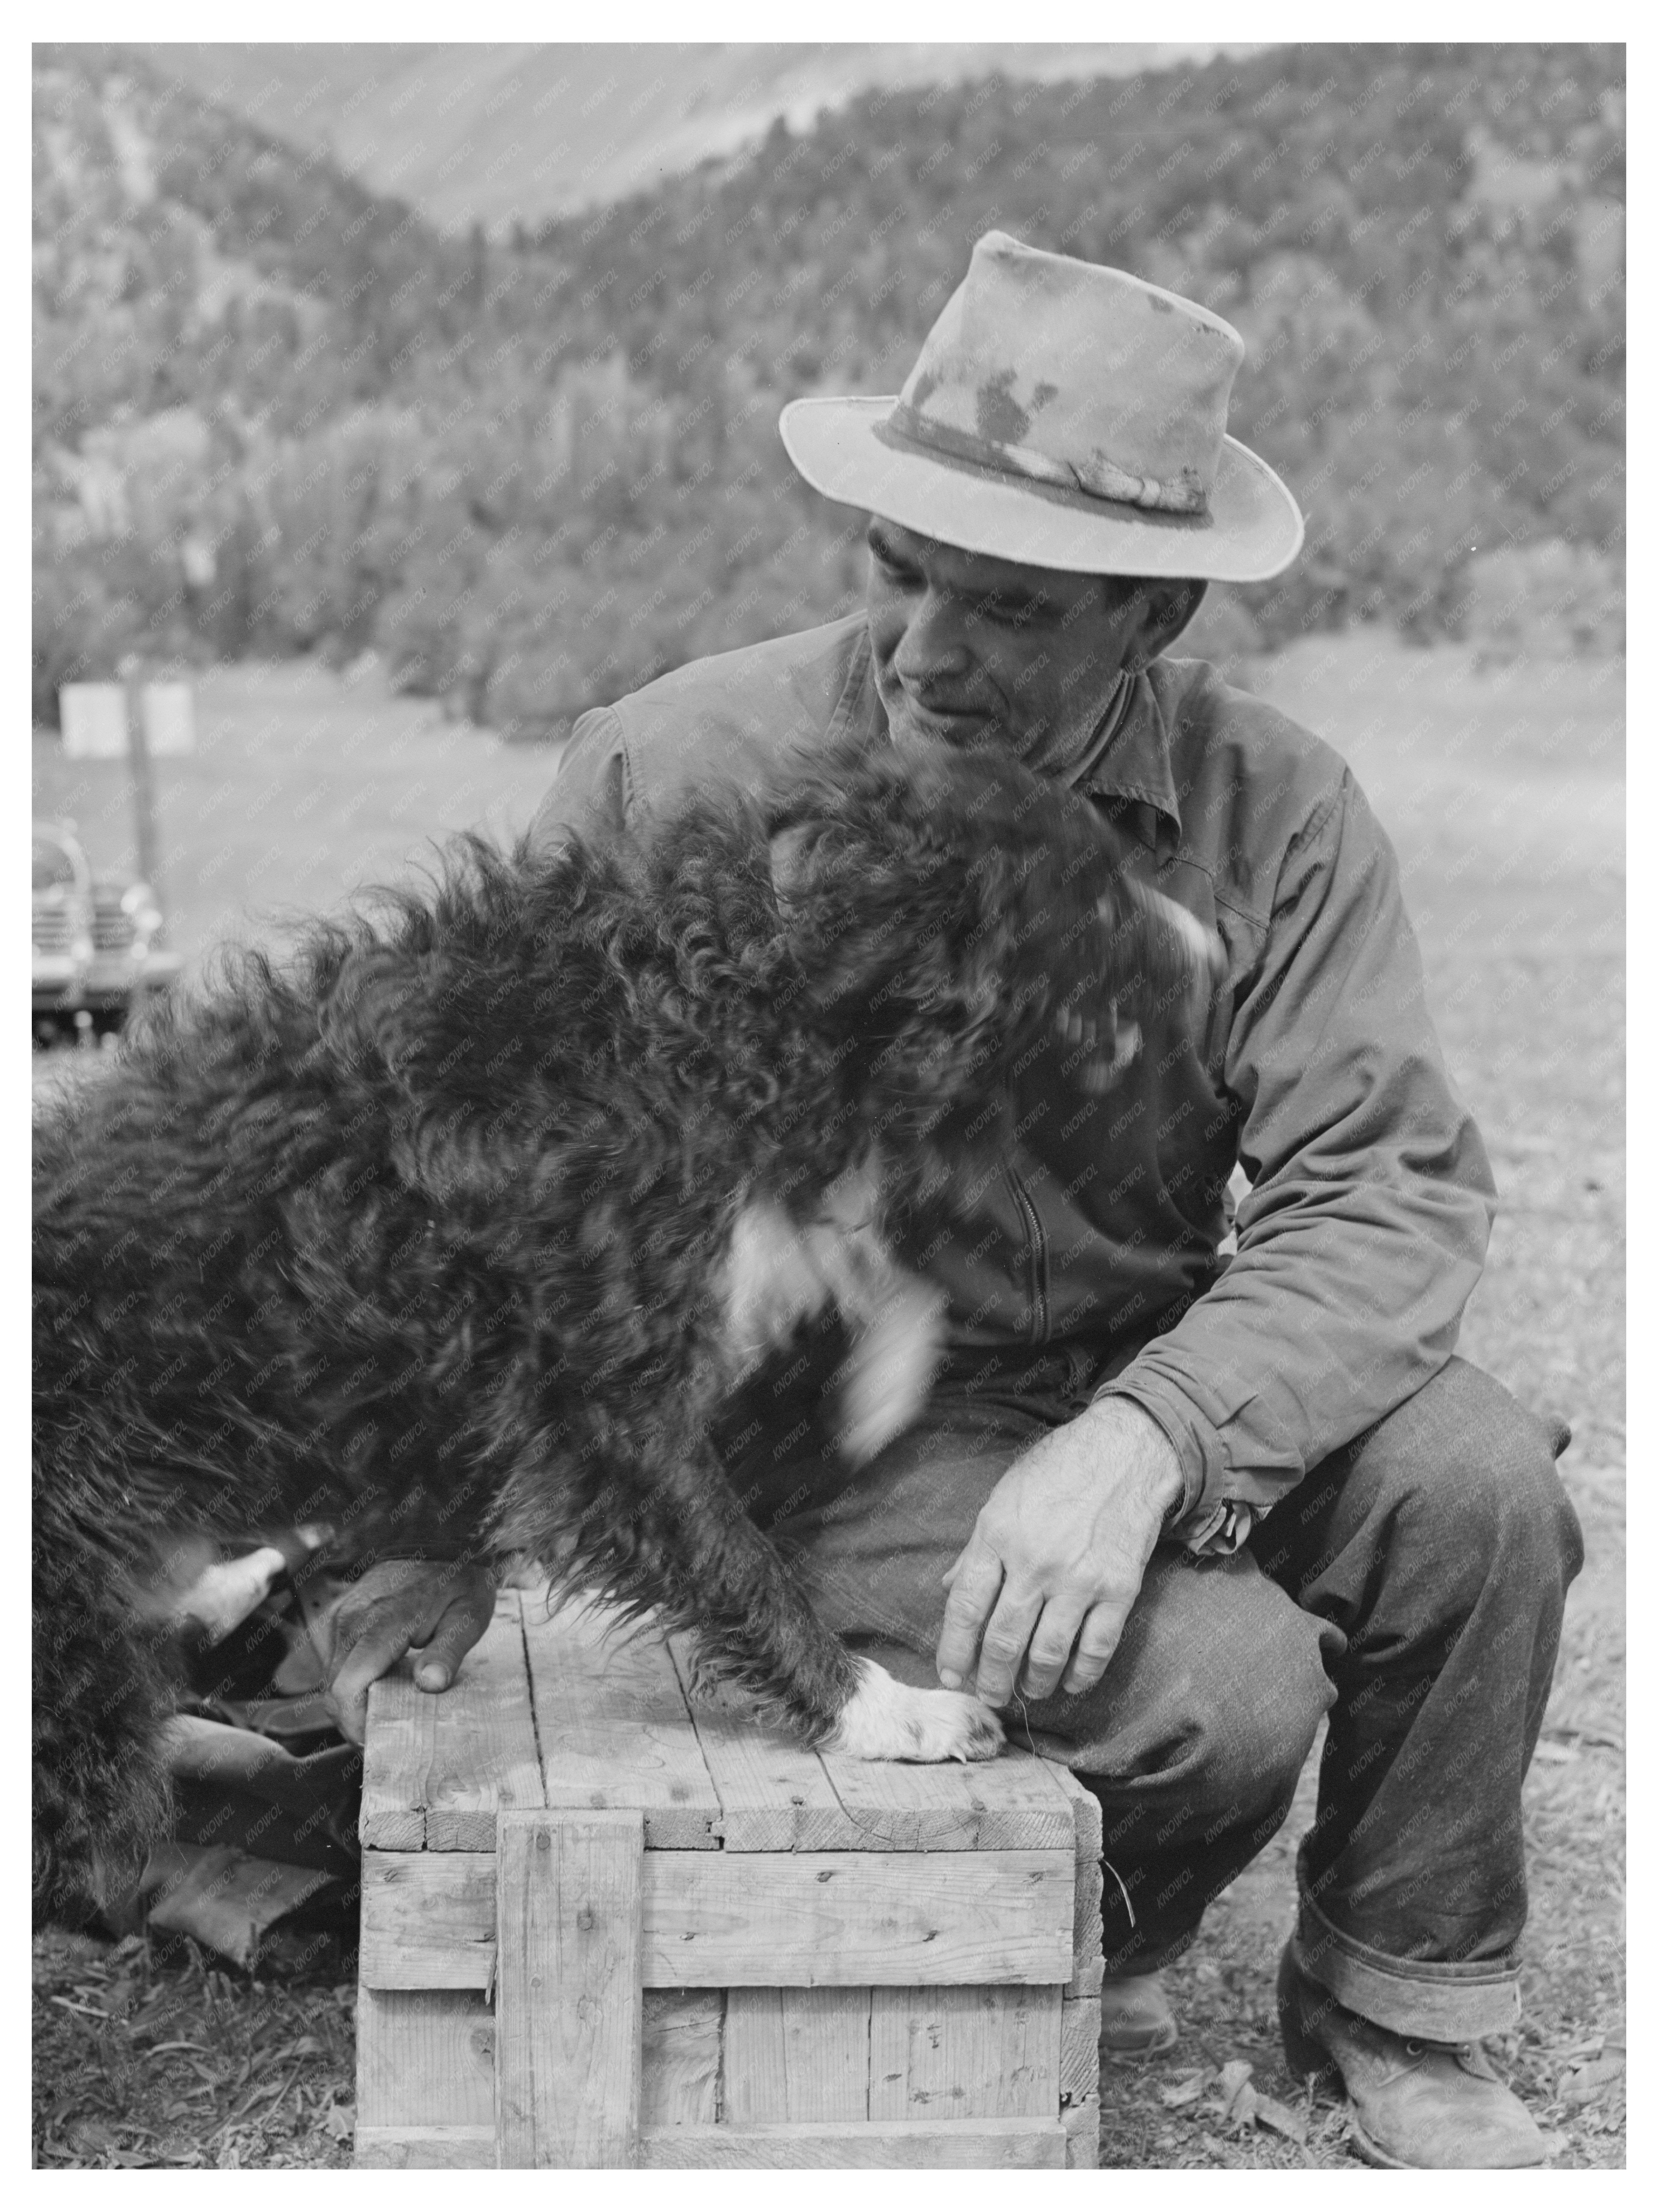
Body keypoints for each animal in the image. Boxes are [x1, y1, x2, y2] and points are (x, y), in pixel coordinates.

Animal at [29, 739, 1211, 1920]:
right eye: (1096, 894)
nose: (1212, 950)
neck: (726, 995)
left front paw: (875, 1373)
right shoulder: (606, 1393)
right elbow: (739, 1560)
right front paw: (885, 1710)